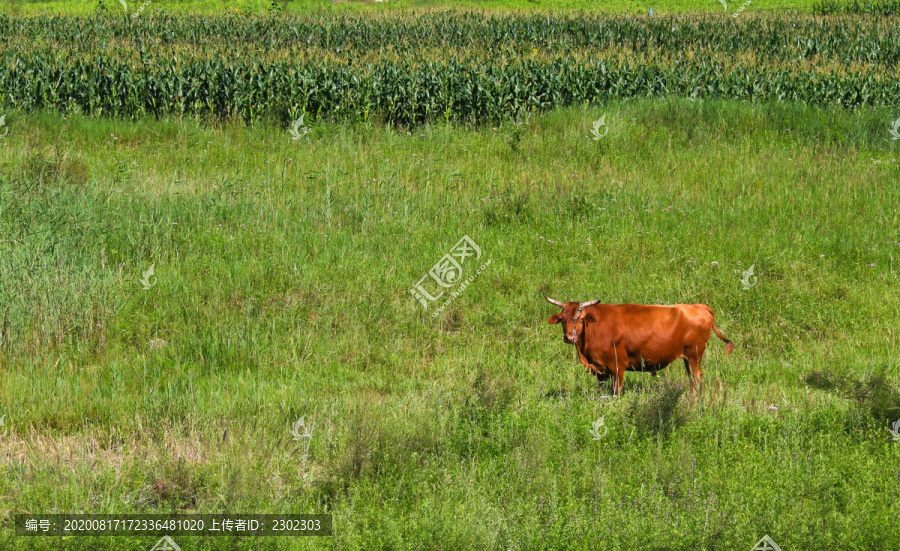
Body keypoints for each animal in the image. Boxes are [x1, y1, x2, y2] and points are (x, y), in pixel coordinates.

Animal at [544, 298, 736, 396]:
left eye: (580, 318)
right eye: (563, 319)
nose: (569, 337)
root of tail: (699, 306)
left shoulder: (616, 366)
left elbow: (616, 391)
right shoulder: (600, 369)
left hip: (695, 354)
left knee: (696, 377)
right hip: (688, 358)